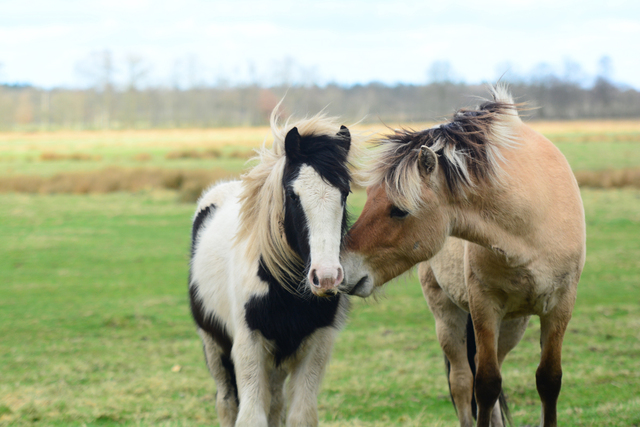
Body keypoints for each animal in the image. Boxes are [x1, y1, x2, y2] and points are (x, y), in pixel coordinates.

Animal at [188, 111, 352, 427]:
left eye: (346, 193)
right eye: (293, 195)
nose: (326, 278)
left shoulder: (317, 344)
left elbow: (300, 415)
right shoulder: (248, 344)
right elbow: (251, 416)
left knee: (275, 403)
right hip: (214, 345)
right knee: (227, 402)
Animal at [340, 88, 584, 427]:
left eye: (399, 210)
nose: (342, 269)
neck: (532, 222)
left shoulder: (560, 306)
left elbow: (548, 380)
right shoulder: (484, 306)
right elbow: (485, 385)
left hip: (513, 324)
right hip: (447, 316)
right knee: (462, 381)